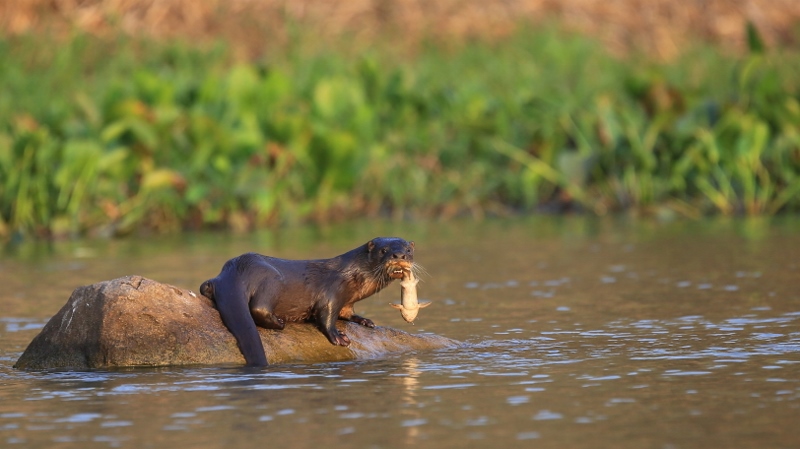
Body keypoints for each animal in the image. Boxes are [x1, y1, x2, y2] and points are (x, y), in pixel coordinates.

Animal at [199, 236, 416, 366]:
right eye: (384, 250)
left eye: (408, 249)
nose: (399, 255)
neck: (354, 275)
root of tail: (234, 270)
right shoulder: (333, 291)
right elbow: (326, 314)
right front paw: (337, 336)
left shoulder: (348, 302)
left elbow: (347, 313)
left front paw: (365, 321)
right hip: (272, 279)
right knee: (259, 307)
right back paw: (279, 322)